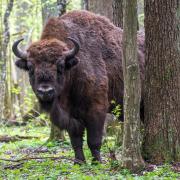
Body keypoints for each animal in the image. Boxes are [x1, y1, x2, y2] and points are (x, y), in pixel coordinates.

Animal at [12, 10, 145, 164]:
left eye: (60, 66)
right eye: (30, 67)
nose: (45, 91)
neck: (74, 69)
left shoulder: (96, 109)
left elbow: (94, 140)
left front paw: (97, 162)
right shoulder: (71, 116)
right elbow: (75, 140)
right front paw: (79, 162)